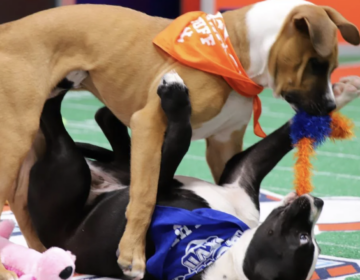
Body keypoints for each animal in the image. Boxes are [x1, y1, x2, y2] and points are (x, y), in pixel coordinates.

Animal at [28, 72, 324, 280]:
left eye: (305, 238)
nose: (318, 201)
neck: (216, 252)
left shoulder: (143, 201)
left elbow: (179, 138)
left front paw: (175, 96)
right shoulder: (243, 172)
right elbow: (279, 139)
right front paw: (325, 103)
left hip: (68, 169)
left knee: (52, 120)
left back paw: (65, 84)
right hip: (112, 168)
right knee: (117, 140)